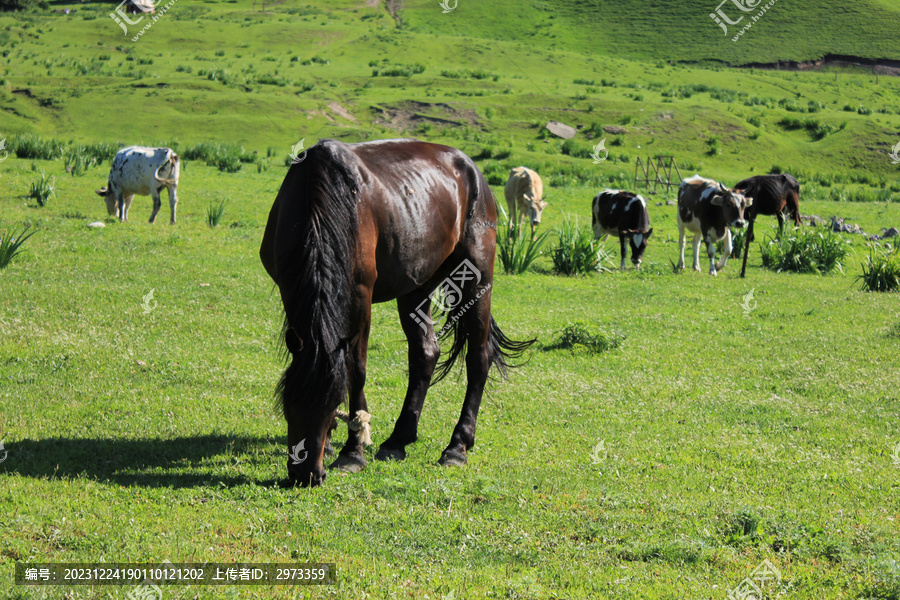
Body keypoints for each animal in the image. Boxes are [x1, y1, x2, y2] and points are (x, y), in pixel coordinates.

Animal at [258, 139, 536, 488]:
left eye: (332, 405)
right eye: (287, 404)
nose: (306, 475)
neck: (320, 198)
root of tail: (472, 171)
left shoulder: (360, 296)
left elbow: (356, 370)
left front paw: (352, 452)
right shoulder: (289, 289)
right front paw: (344, 443)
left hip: (476, 277)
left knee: (478, 357)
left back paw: (457, 446)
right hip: (416, 285)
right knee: (426, 352)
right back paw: (398, 439)